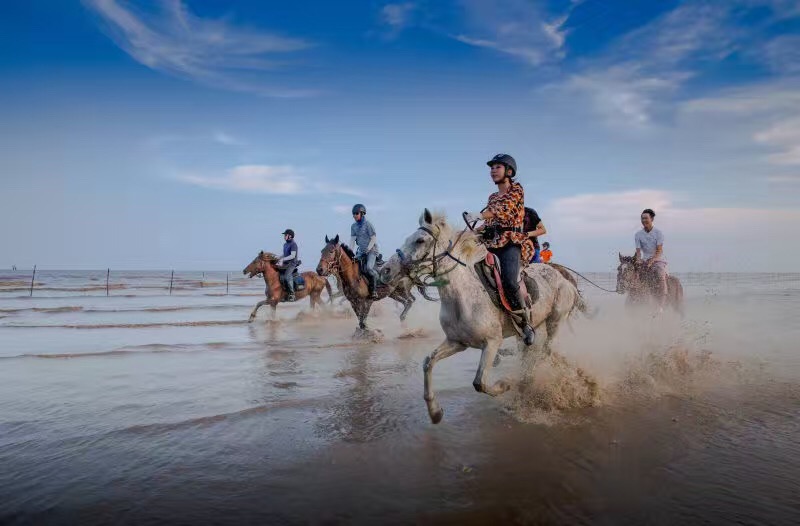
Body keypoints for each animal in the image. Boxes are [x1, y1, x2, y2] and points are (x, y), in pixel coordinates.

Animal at [380, 209, 580, 424]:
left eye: (419, 240)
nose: (385, 271)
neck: (464, 296)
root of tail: (565, 278)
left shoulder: (492, 342)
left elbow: (480, 382)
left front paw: (504, 385)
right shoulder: (457, 342)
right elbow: (428, 362)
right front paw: (435, 413)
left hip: (555, 322)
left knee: (544, 351)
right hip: (528, 330)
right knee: (529, 351)